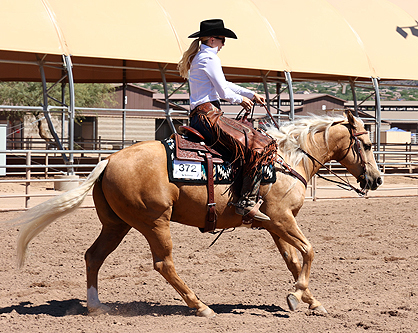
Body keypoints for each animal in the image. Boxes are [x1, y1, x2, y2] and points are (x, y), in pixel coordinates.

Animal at [9, 111, 382, 316]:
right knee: (164, 264)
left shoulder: (275, 224)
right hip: (154, 222)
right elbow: (309, 250)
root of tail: (109, 160)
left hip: (117, 224)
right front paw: (298, 295)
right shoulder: (281, 218)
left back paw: (97, 306)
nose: (377, 179)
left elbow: (294, 259)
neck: (287, 161)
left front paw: (308, 300)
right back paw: (200, 307)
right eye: (365, 144)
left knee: (93, 256)